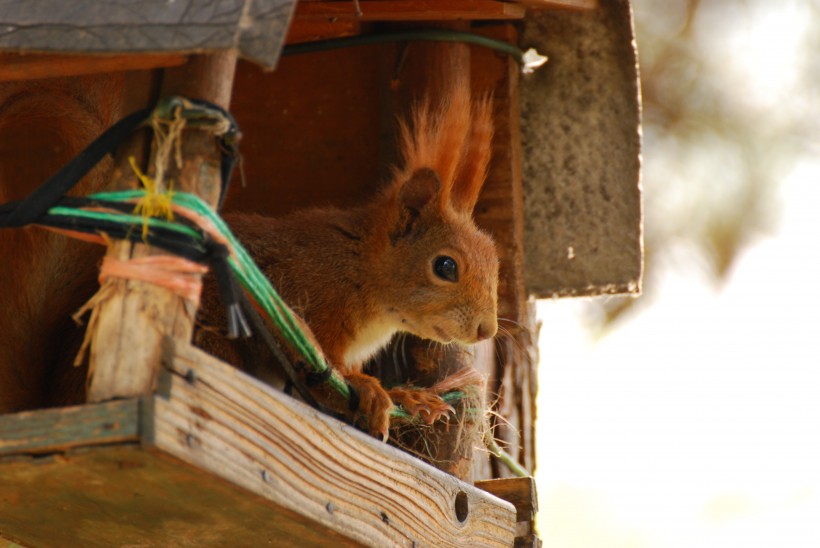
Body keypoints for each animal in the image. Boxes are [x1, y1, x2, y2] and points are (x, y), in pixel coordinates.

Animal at [197, 83, 500, 438]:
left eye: (495, 263)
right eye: (445, 266)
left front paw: (406, 396)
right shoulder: (305, 293)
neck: (360, 269)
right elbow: (318, 375)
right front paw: (369, 389)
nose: (486, 330)